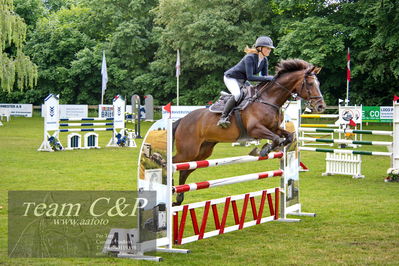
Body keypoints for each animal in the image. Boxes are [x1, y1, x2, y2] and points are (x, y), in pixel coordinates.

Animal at [172, 59, 324, 206]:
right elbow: (276, 138)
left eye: (318, 83)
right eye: (310, 83)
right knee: (174, 163)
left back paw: (178, 198)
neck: (268, 100)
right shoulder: (255, 129)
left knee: (184, 170)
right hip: (188, 151)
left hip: (203, 152)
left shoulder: (274, 128)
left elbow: (288, 136)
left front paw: (267, 148)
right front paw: (263, 150)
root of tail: (183, 119)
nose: (321, 106)